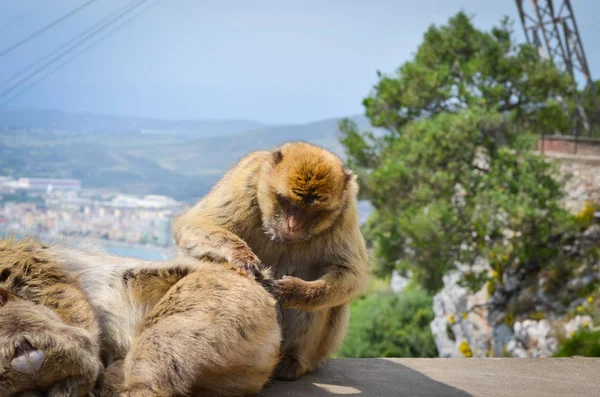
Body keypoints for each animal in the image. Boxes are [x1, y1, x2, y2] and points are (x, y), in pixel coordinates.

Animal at [172, 141, 370, 378]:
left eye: (312, 211)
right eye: (287, 202)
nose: (293, 226)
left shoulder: (346, 211)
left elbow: (352, 272)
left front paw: (295, 291)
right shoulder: (245, 181)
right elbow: (195, 223)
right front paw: (241, 256)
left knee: (325, 302)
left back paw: (292, 360)